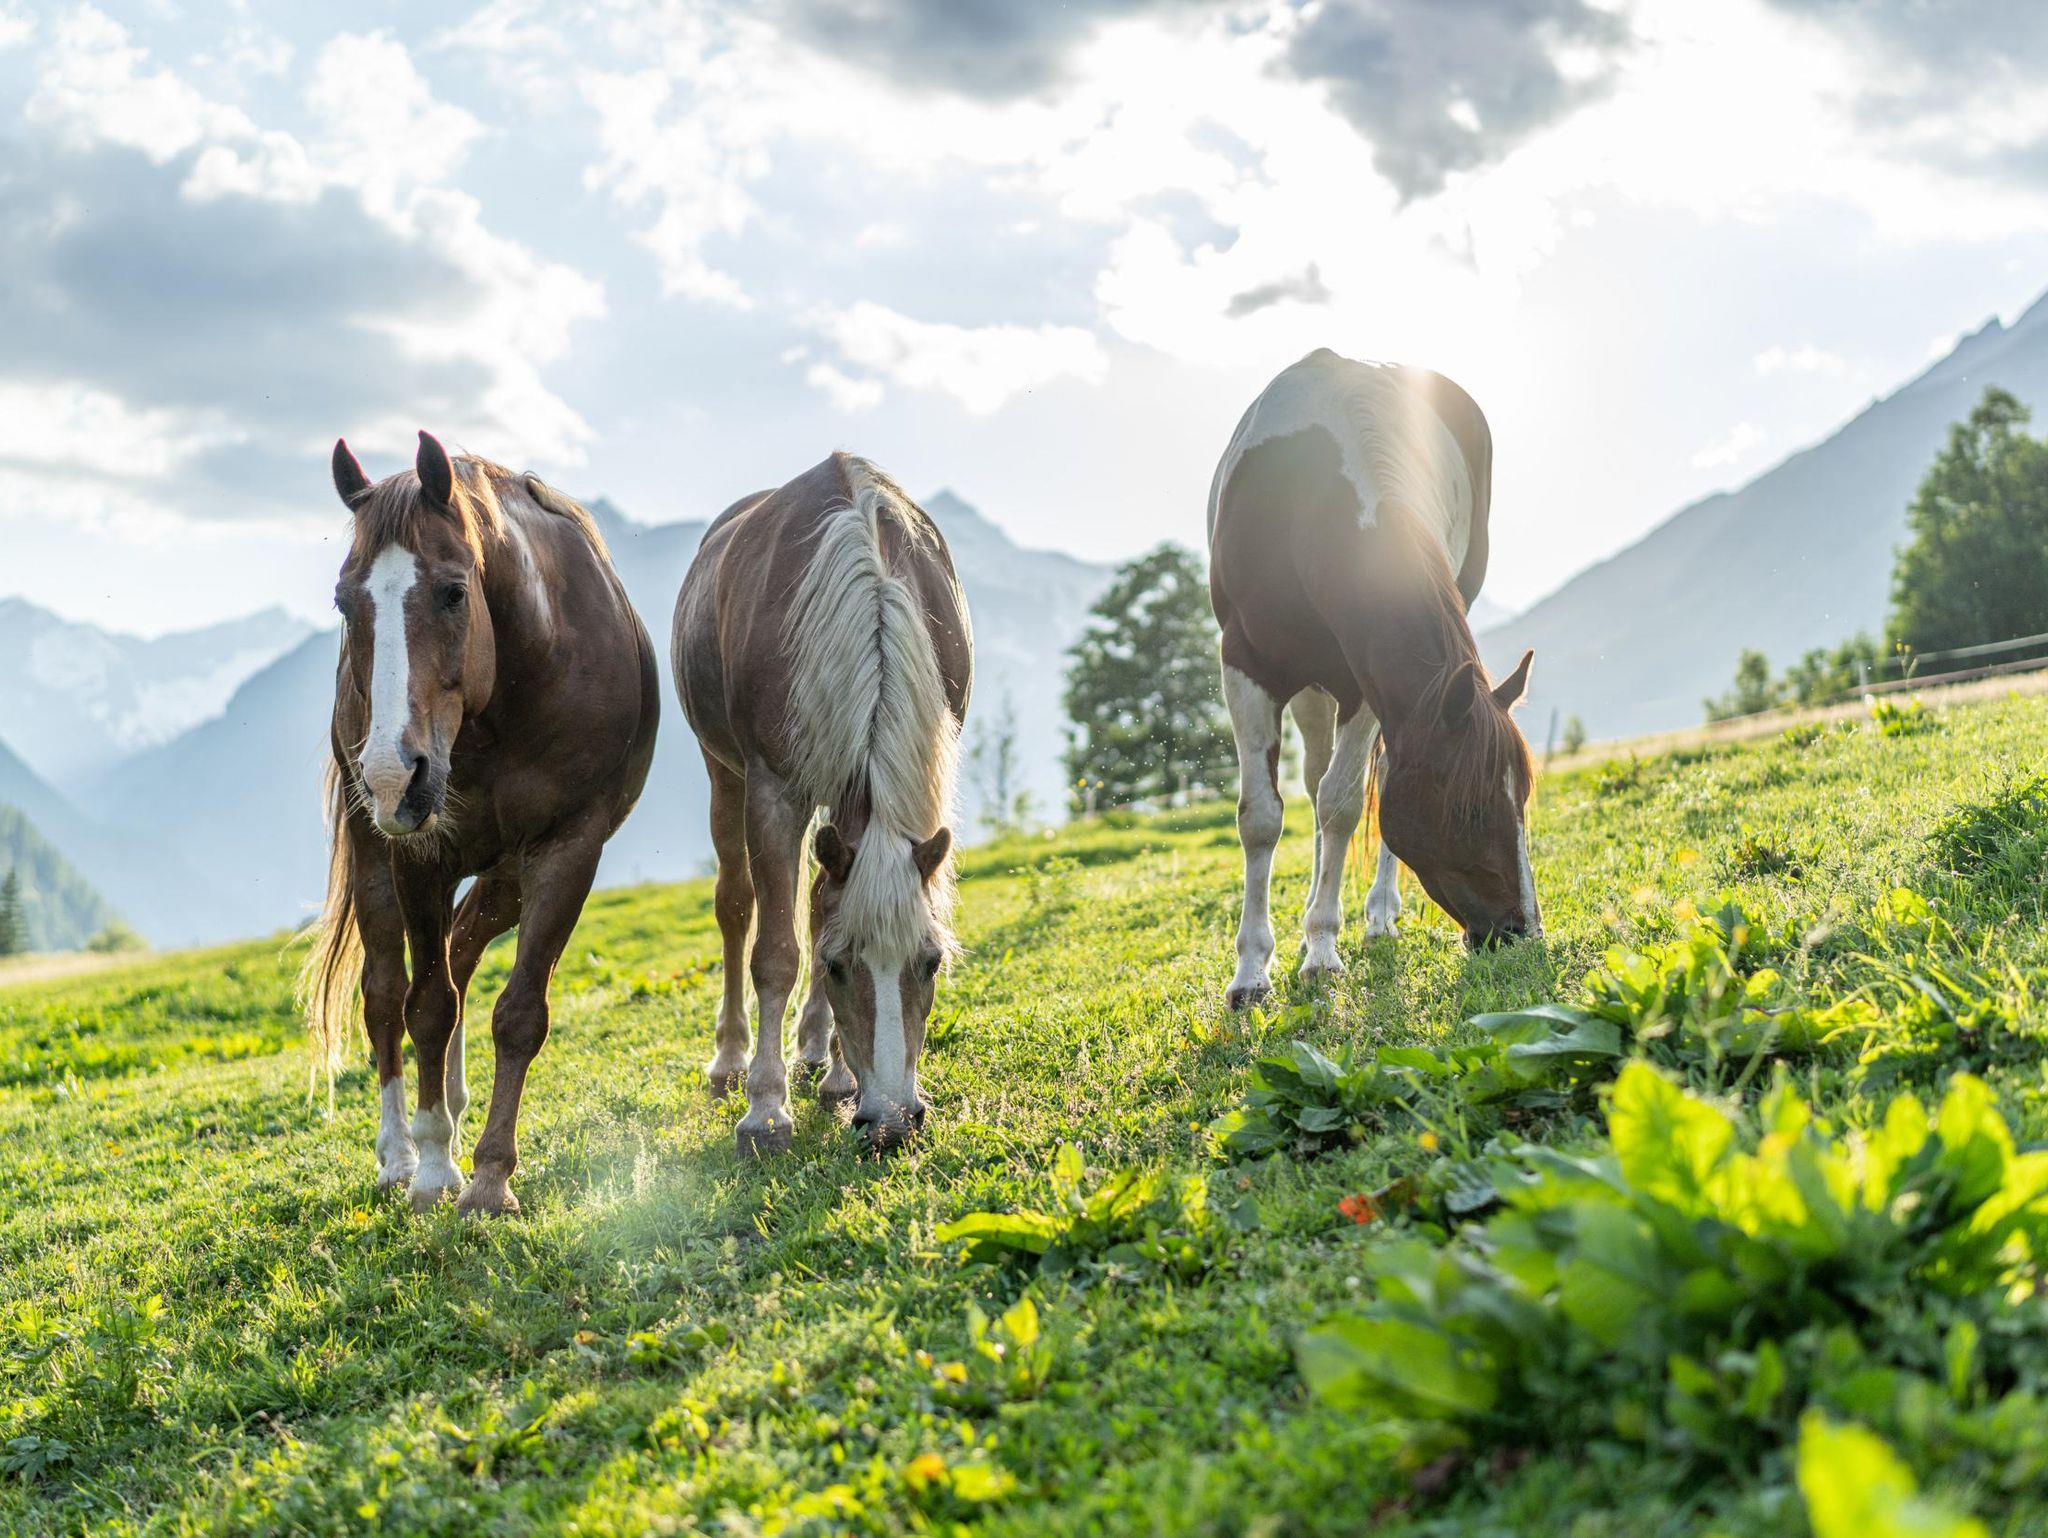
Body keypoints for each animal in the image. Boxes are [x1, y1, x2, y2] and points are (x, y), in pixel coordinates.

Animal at [300, 431, 659, 1214]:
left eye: (453, 592)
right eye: (344, 602)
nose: (391, 774)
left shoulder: (568, 849)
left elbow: (518, 1013)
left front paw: (491, 1176)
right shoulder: (420, 855)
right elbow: (425, 1005)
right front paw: (436, 1169)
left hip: (505, 875)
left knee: (464, 948)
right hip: (379, 848)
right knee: (385, 994)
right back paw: (400, 1153)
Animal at [672, 453, 971, 1154]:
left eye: (931, 962)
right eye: (837, 968)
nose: (892, 1122)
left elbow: (819, 911)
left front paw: (838, 1073)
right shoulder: (772, 792)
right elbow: (777, 952)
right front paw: (765, 1110)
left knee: (812, 898)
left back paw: (816, 1054)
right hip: (724, 775)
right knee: (736, 905)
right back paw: (732, 1059)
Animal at [1207, 349, 1538, 1007]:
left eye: (1523, 800)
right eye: (1469, 810)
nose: (1522, 930)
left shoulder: (1366, 686)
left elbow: (1342, 805)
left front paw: (1322, 952)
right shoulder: (1246, 662)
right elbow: (1262, 816)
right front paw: (1252, 971)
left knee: (1367, 777)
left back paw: (1378, 912)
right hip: (1311, 690)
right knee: (1313, 780)